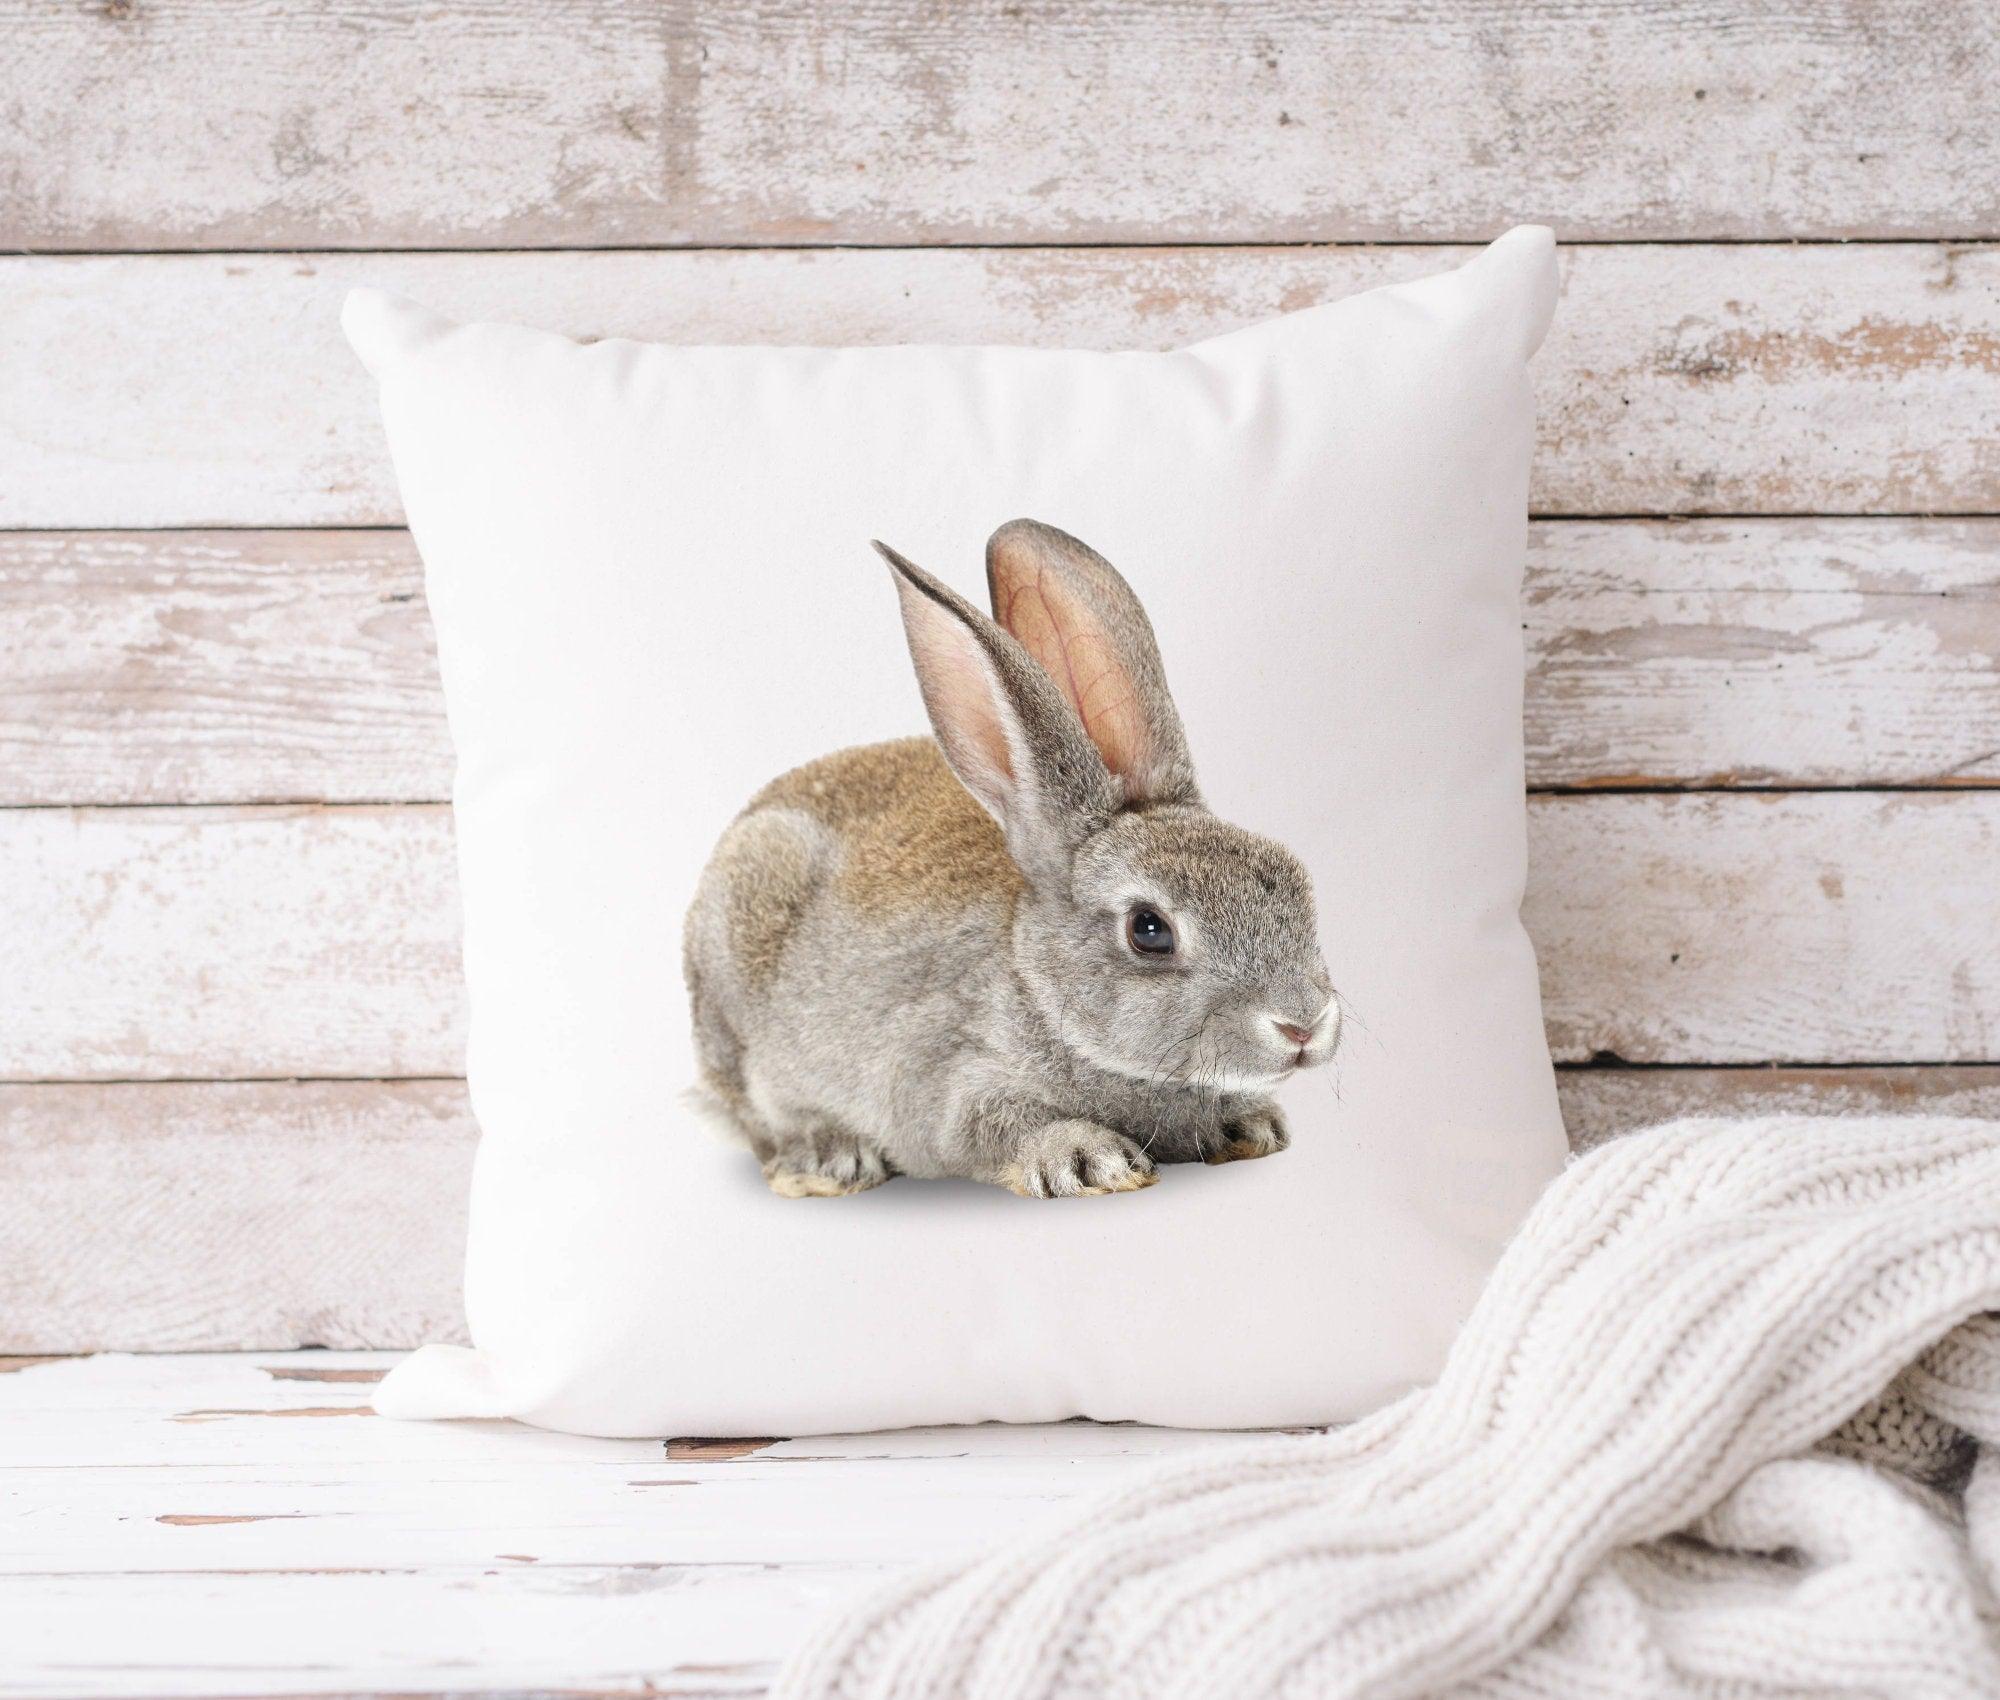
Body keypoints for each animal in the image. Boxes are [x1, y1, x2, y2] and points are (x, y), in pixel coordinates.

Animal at [682, 519, 1340, 1199]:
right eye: (1149, 930)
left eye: (1296, 878)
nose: (1304, 1024)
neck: (1039, 990)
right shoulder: (946, 1084)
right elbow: (993, 1125)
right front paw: (1090, 1159)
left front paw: (1251, 1127)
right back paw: (829, 1160)